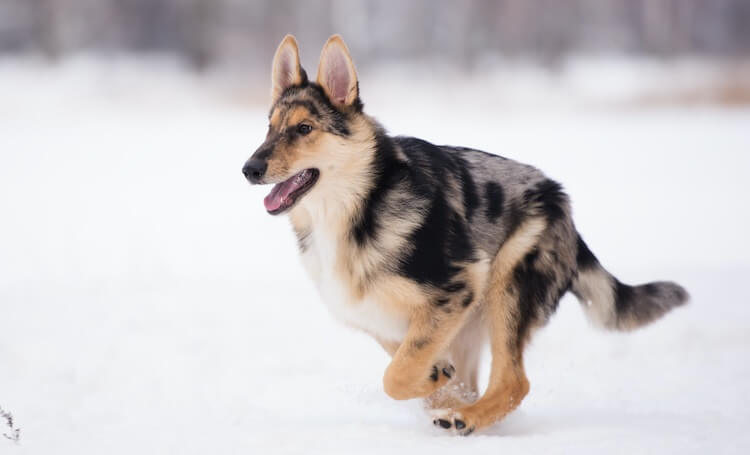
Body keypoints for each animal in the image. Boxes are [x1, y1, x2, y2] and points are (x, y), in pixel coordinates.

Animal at [244, 34, 692, 434]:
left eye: (304, 129)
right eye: (269, 127)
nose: (249, 169)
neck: (361, 204)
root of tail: (560, 199)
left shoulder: (455, 287)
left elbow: (396, 377)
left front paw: (435, 384)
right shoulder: (385, 321)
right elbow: (413, 372)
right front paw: (438, 384)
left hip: (505, 287)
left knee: (514, 382)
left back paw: (468, 419)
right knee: (483, 383)